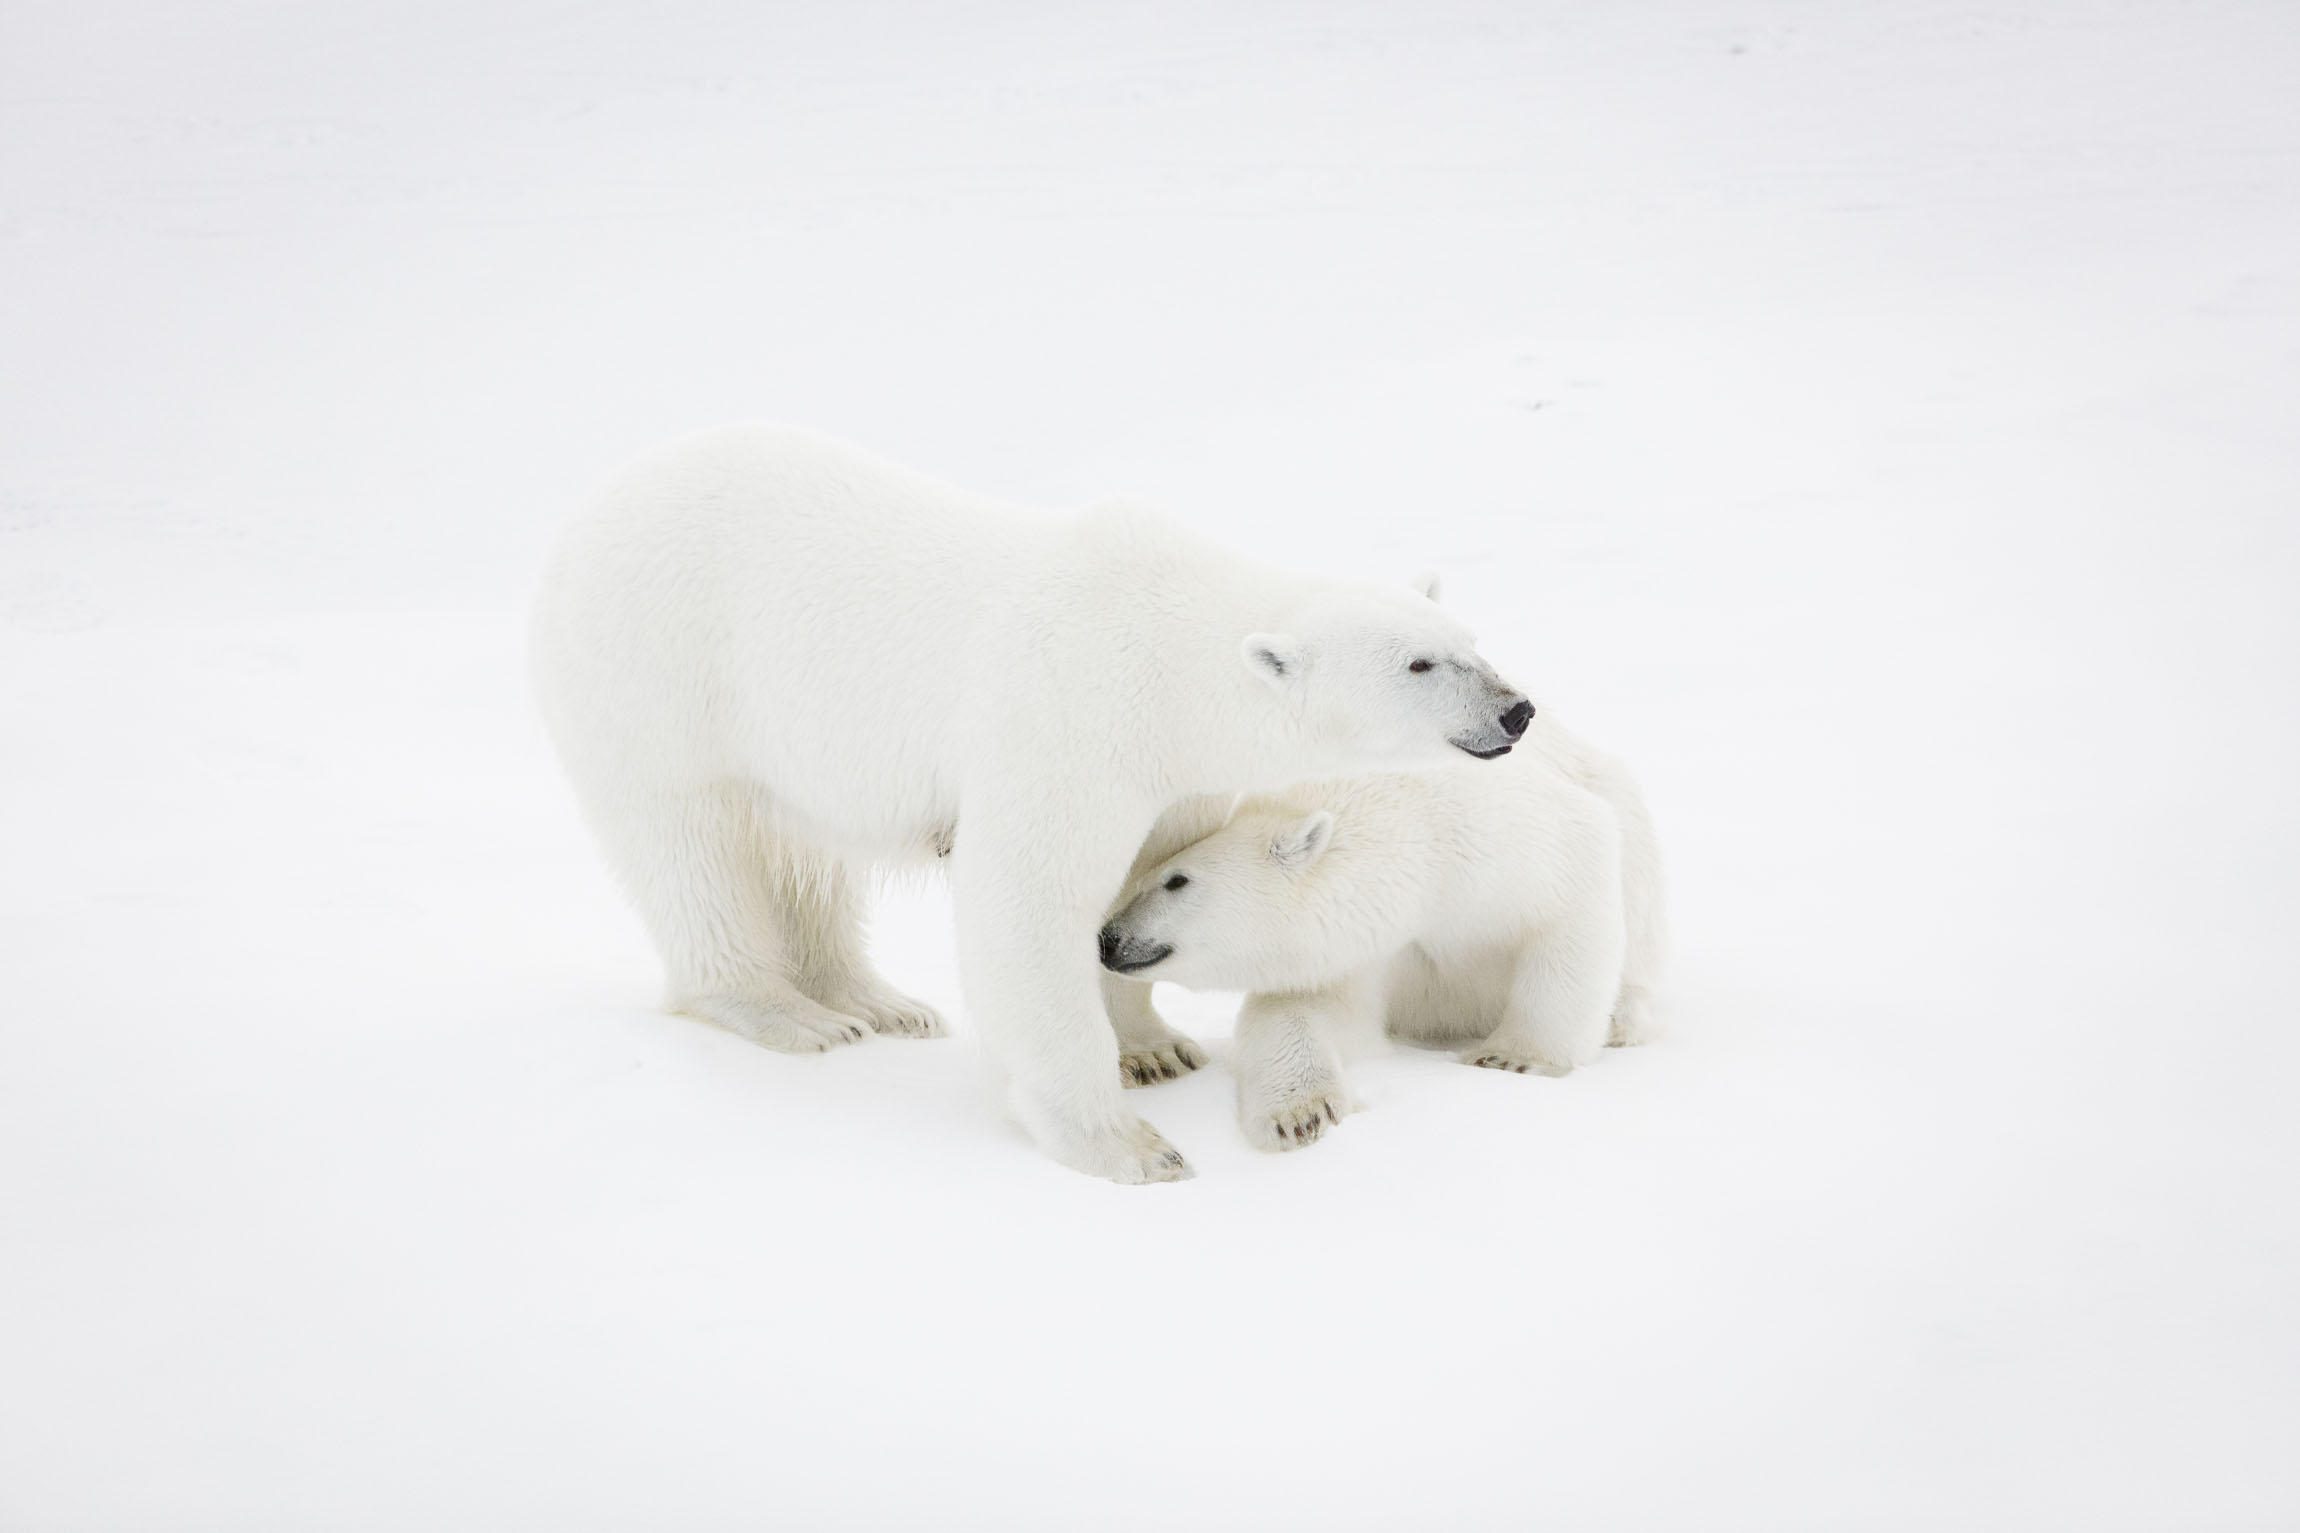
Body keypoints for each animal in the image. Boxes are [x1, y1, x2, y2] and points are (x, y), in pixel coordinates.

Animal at [531, 425, 1536, 1185]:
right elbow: (1029, 900)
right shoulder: (1066, 715)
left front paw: (1154, 1047)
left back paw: (878, 1002)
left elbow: (1133, 881)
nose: (1516, 710)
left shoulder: (1171, 771)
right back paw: (788, 1013)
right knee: (691, 841)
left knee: (809, 857)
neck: (1166, 653)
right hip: (661, 669)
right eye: (1419, 663)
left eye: (1470, 639)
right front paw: (1126, 1143)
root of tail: (586, 514)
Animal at [1099, 717, 1665, 1149]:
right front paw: (1301, 1114)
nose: (1108, 938)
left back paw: (1622, 1019)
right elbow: (1310, 1010)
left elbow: (1573, 887)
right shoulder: (1367, 942)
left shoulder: (1499, 834)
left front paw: (1515, 1057)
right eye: (1139, 876)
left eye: (1176, 879)